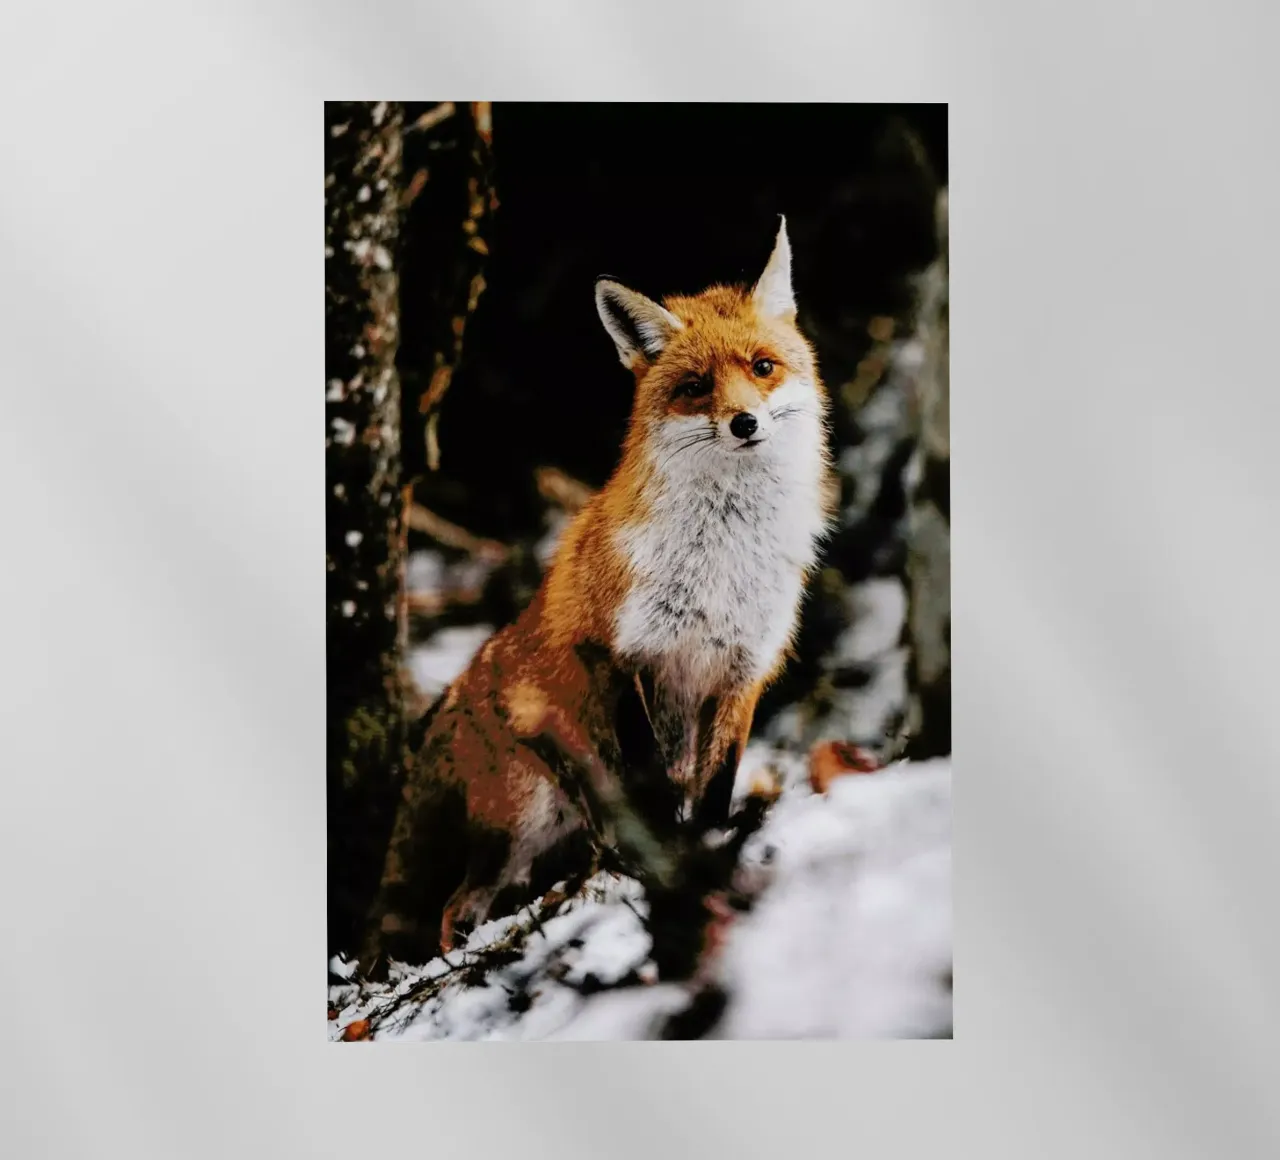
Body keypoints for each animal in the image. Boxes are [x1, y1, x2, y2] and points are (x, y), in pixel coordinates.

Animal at [358, 218, 836, 974]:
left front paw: (706, 855)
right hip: (521, 820)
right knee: (452, 909)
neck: (720, 562)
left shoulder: (741, 672)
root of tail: (454, 695)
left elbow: (713, 790)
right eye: (695, 386)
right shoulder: (619, 653)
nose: (744, 424)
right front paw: (673, 868)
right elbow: (654, 784)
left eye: (762, 367)